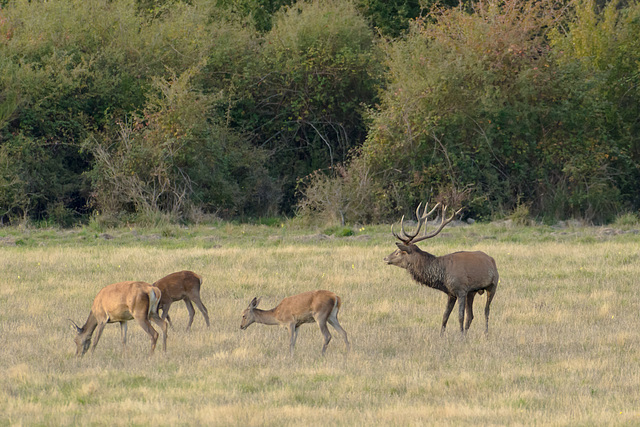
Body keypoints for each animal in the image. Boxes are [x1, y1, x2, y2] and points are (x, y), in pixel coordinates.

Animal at [384, 204, 500, 338]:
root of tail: (492, 260)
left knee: (486, 311)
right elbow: (445, 316)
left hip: (493, 285)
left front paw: (460, 337)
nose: (385, 258)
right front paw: (441, 336)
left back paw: (485, 333)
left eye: (398, 252)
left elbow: (460, 316)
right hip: (472, 292)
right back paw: (467, 334)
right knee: (471, 315)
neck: (443, 276)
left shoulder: (461, 290)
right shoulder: (451, 293)